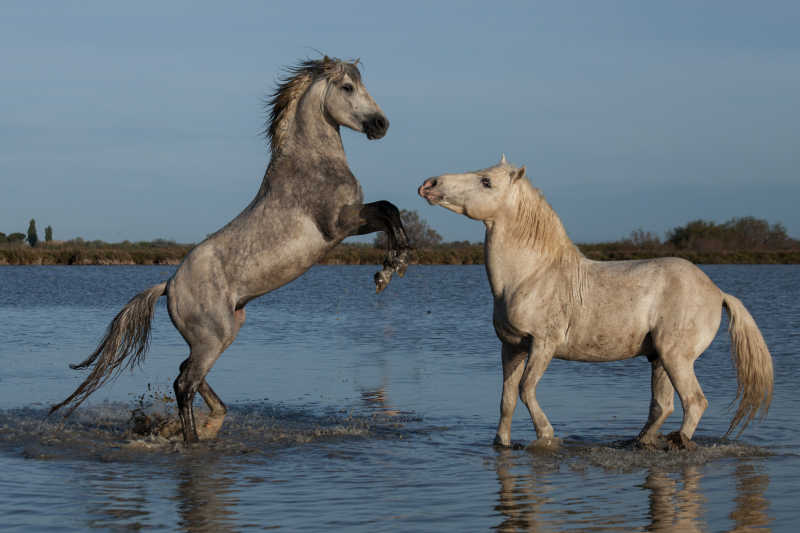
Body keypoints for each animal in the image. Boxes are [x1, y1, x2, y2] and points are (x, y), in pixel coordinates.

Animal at [50, 56, 410, 442]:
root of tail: (168, 285)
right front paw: (391, 268)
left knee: (187, 372)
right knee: (184, 384)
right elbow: (387, 208)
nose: (381, 125)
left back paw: (211, 421)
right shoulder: (339, 224)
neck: (311, 163)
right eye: (347, 87)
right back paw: (193, 438)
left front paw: (392, 266)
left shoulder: (353, 221)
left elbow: (389, 212)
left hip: (225, 332)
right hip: (213, 337)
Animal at [418, 157, 776, 448]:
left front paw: (547, 436)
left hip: (677, 357)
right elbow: (506, 399)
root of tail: (717, 292)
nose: (429, 184)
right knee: (663, 406)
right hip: (659, 359)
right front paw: (502, 443)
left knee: (694, 402)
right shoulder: (511, 347)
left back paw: (678, 443)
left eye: (486, 181)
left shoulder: (543, 344)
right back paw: (641, 442)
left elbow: (526, 390)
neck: (530, 276)